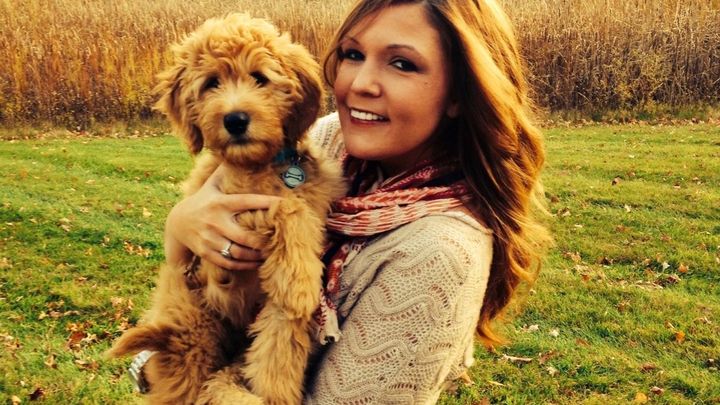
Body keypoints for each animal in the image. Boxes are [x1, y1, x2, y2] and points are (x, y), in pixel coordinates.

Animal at [108, 13, 345, 405]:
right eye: (211, 83)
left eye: (260, 78)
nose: (235, 120)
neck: (261, 166)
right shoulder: (223, 208)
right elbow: (284, 208)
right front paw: (299, 280)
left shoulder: (275, 310)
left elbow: (279, 350)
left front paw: (295, 285)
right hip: (193, 330)